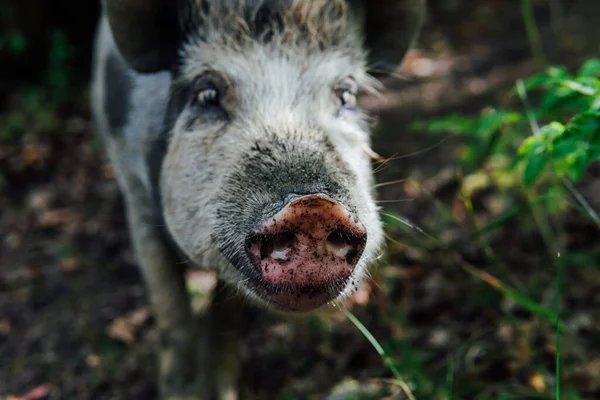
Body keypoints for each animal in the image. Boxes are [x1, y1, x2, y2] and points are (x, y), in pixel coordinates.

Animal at [91, 0, 424, 400]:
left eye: (346, 96)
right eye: (206, 95)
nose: (312, 205)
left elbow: (226, 322)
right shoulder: (137, 201)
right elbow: (173, 316)